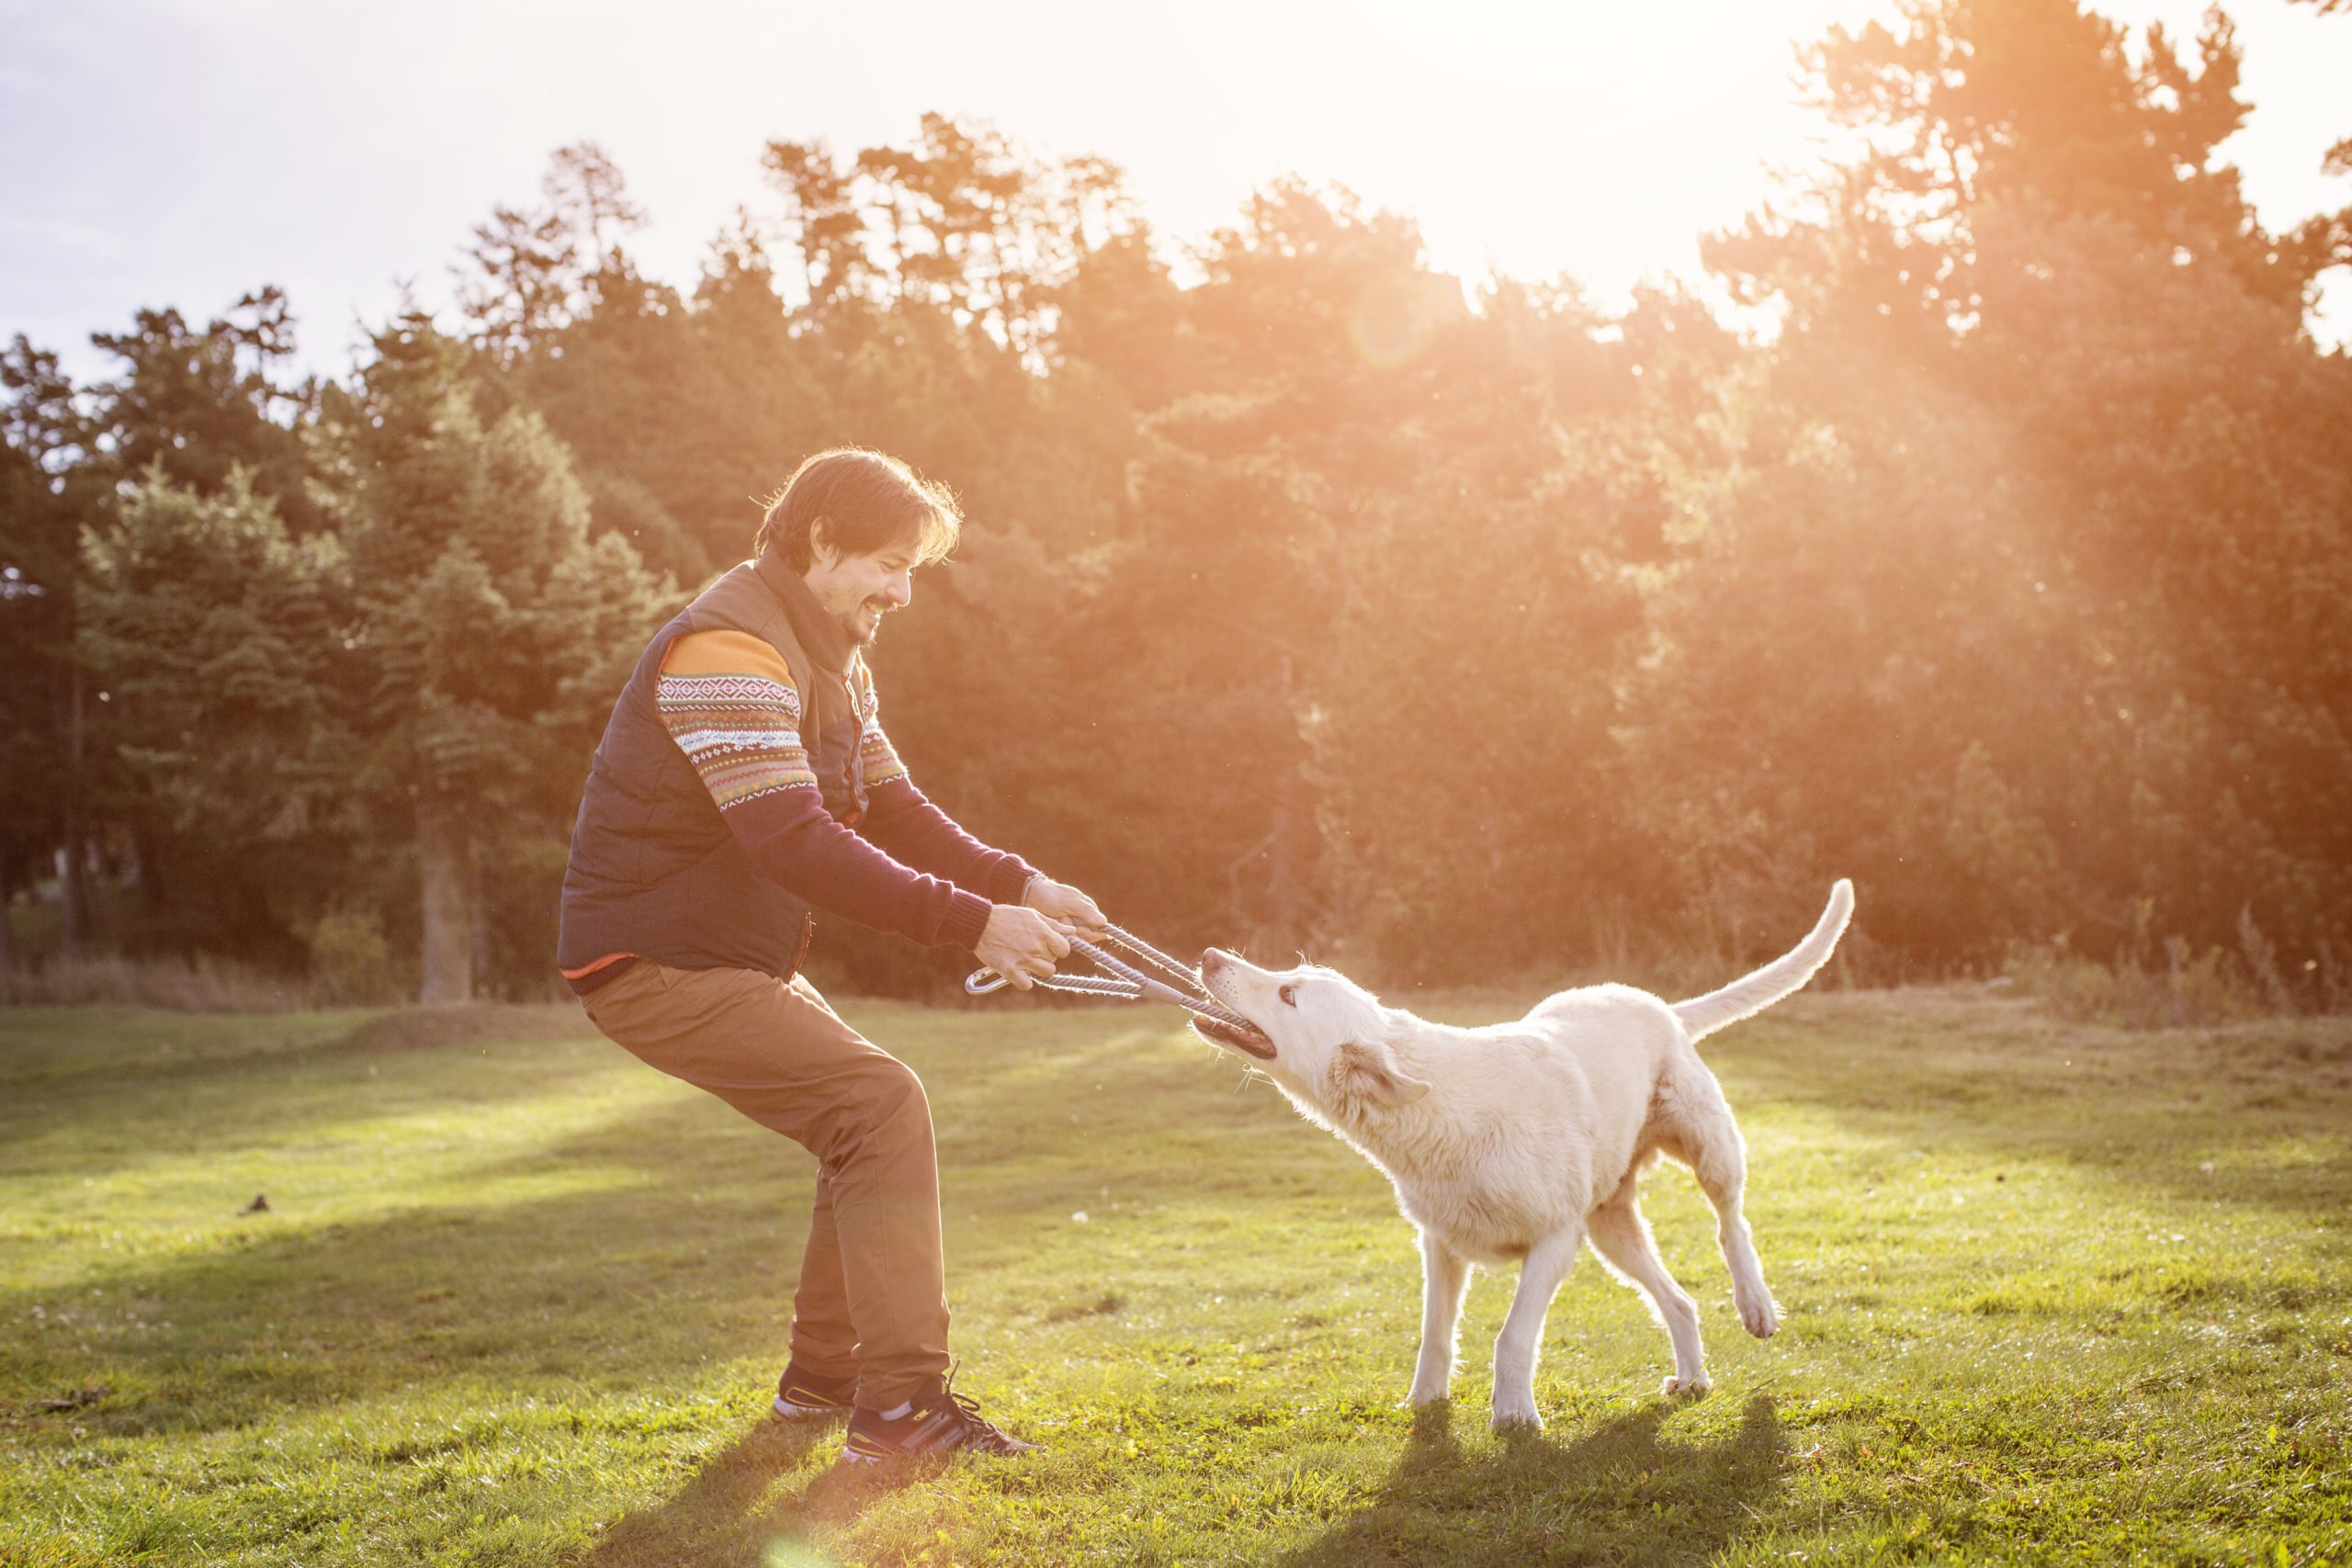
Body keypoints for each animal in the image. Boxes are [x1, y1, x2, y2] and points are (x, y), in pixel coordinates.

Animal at [1194, 884, 1853, 1438]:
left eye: (1289, 993)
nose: (1207, 955)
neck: (1439, 1110)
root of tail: (1659, 1004)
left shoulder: (1555, 1241)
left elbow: (1512, 1336)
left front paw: (1513, 1415)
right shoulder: (1441, 1245)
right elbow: (1435, 1334)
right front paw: (1424, 1402)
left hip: (1708, 1146)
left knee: (1731, 1223)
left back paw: (1756, 1305)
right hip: (1611, 1229)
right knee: (1679, 1300)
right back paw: (1692, 1377)